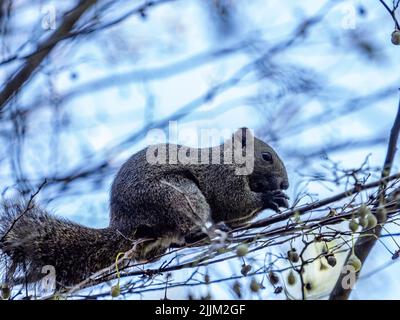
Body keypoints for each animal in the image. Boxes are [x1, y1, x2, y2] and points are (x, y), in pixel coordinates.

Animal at [0, 127, 288, 288]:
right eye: (266, 156)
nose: (285, 183)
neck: (229, 157)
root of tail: (123, 225)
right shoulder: (221, 175)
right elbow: (231, 202)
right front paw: (268, 199)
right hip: (176, 194)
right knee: (187, 224)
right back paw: (203, 232)